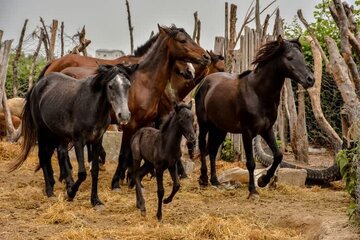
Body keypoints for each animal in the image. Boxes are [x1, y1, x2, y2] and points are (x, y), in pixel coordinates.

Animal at [9, 64, 134, 207]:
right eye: (110, 86)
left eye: (128, 86)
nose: (124, 116)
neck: (91, 106)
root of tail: (38, 85)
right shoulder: (79, 141)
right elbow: (82, 173)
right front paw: (70, 193)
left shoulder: (97, 141)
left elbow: (95, 171)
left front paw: (95, 201)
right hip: (42, 132)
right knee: (44, 156)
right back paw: (50, 191)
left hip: (57, 134)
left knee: (58, 154)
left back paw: (56, 184)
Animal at [111, 24, 210, 189]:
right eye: (182, 40)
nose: (206, 56)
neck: (143, 83)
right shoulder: (130, 124)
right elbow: (123, 154)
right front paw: (116, 182)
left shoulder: (143, 123)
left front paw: (132, 179)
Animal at [195, 34, 314, 198]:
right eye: (289, 57)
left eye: (302, 57)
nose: (311, 79)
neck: (258, 93)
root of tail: (205, 81)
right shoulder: (247, 132)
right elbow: (250, 162)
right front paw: (252, 190)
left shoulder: (267, 130)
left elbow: (278, 155)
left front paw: (263, 180)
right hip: (204, 124)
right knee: (202, 146)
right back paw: (203, 179)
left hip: (220, 129)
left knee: (212, 150)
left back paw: (215, 181)